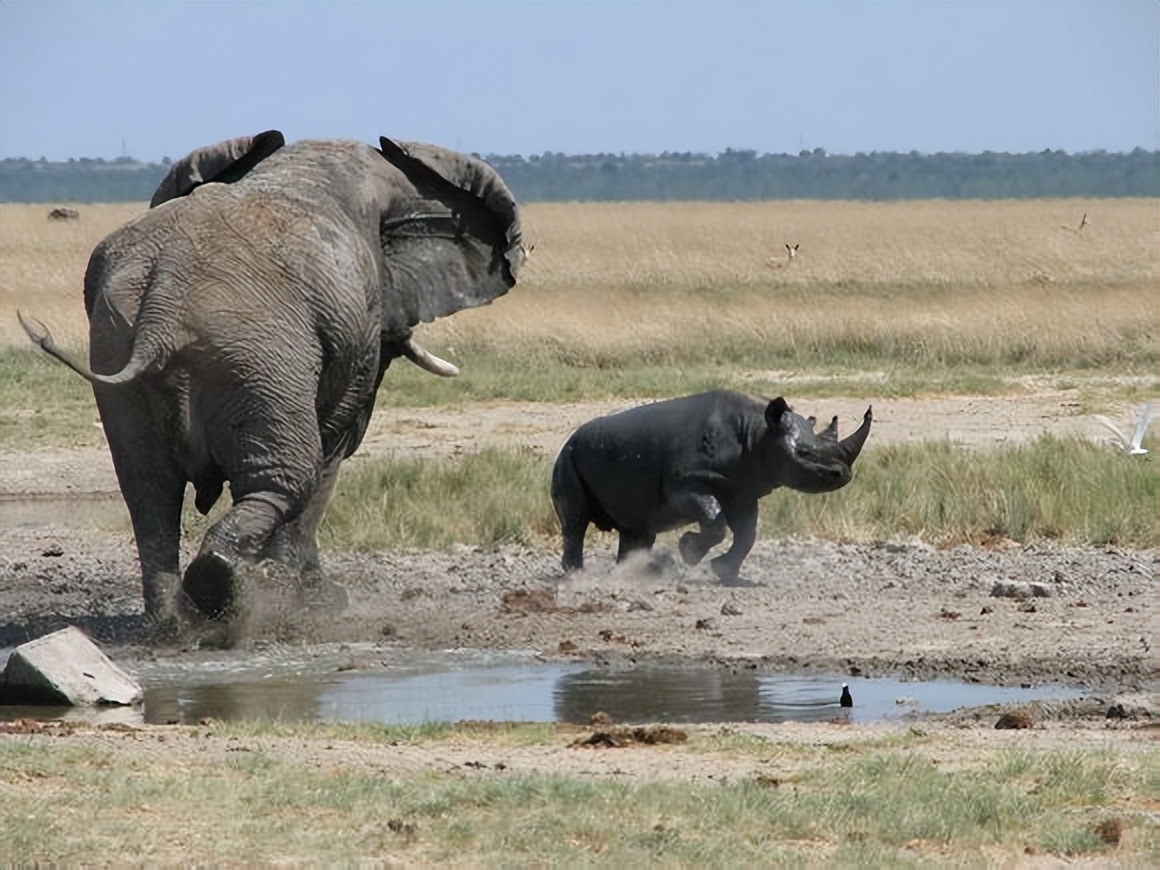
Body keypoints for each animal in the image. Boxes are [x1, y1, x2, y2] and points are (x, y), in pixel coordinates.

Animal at [20, 129, 528, 626]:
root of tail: (162, 306)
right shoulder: (357, 326)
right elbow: (333, 447)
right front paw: (320, 601)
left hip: (121, 347)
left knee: (149, 492)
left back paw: (175, 623)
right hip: (255, 358)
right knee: (290, 476)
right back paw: (230, 592)